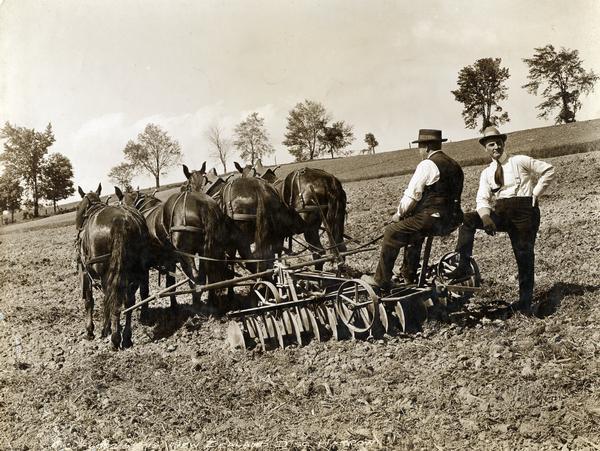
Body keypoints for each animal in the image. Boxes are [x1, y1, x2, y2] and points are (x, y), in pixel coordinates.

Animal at [75, 184, 150, 350]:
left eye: (79, 207)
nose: (77, 227)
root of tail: (120, 222)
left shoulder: (85, 272)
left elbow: (89, 301)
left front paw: (91, 331)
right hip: (137, 270)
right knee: (129, 301)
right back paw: (126, 337)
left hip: (106, 272)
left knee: (112, 299)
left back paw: (114, 337)